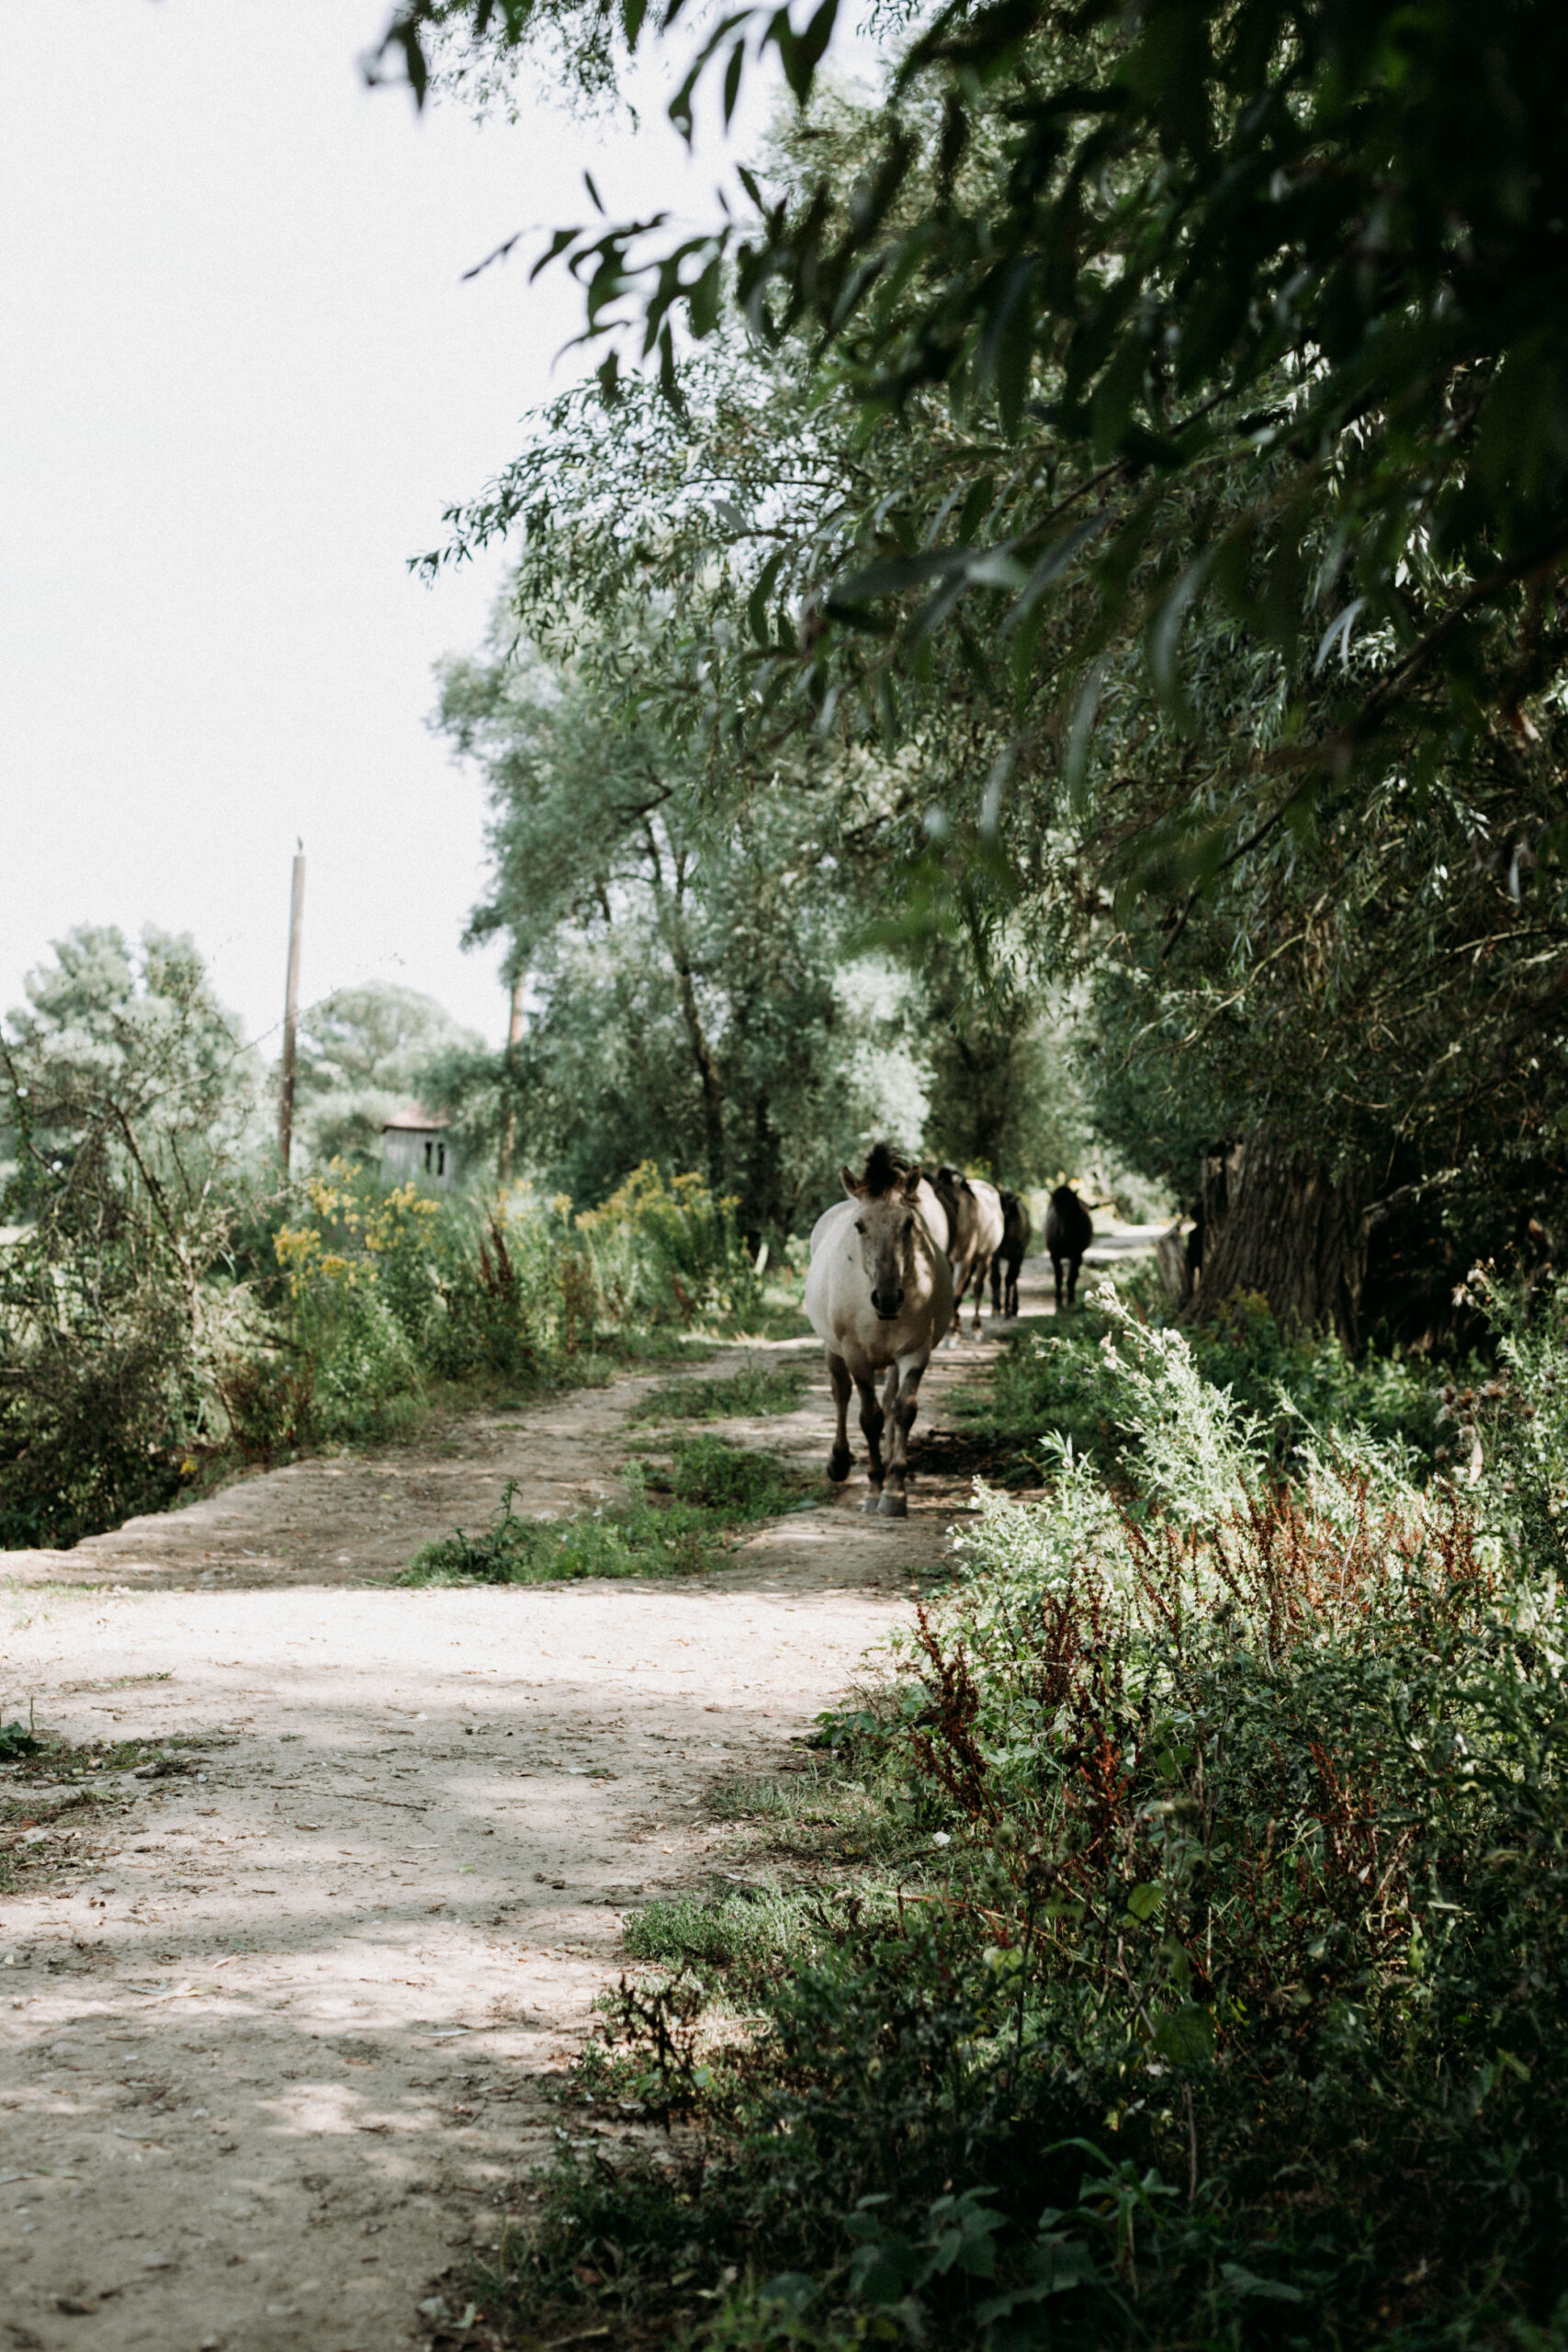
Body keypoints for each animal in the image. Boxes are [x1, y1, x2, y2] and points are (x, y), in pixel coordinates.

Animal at [808, 1143, 959, 1514]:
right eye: (860, 1226)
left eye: (908, 1224)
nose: (888, 1299)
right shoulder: (857, 1357)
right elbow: (869, 1417)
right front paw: (874, 1487)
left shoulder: (915, 1353)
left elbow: (902, 1411)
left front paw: (895, 1490)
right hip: (833, 1349)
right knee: (841, 1393)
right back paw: (839, 1462)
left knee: (890, 1401)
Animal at [991, 1185, 1029, 1317]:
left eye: (1005, 1214)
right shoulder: (994, 1255)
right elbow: (996, 1279)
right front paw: (996, 1309)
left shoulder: (1016, 1255)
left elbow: (1009, 1279)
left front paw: (1007, 1309)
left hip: (1018, 1257)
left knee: (1014, 1277)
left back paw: (1014, 1307)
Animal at [1048, 1185, 1100, 1317]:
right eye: (1056, 1210)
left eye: (1071, 1209)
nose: (1063, 1234)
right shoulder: (1054, 1256)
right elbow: (1058, 1279)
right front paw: (1058, 1302)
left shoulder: (1076, 1255)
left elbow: (1071, 1278)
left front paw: (1070, 1300)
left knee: (1074, 1275)